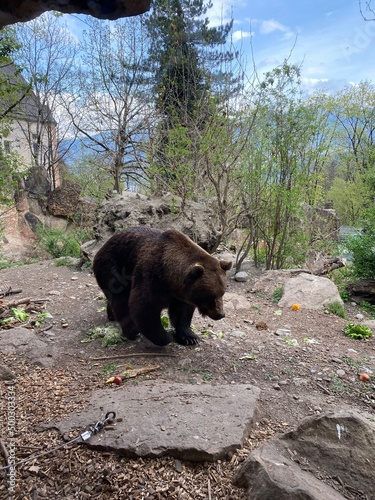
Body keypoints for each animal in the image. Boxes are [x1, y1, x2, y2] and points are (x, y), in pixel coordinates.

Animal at [92, 229, 232, 346]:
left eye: (222, 293)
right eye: (210, 296)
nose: (220, 314)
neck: (169, 278)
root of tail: (103, 245)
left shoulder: (181, 294)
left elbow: (182, 313)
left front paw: (190, 337)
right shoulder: (151, 276)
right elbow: (143, 306)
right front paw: (165, 337)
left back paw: (111, 315)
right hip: (113, 266)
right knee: (119, 298)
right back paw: (131, 330)